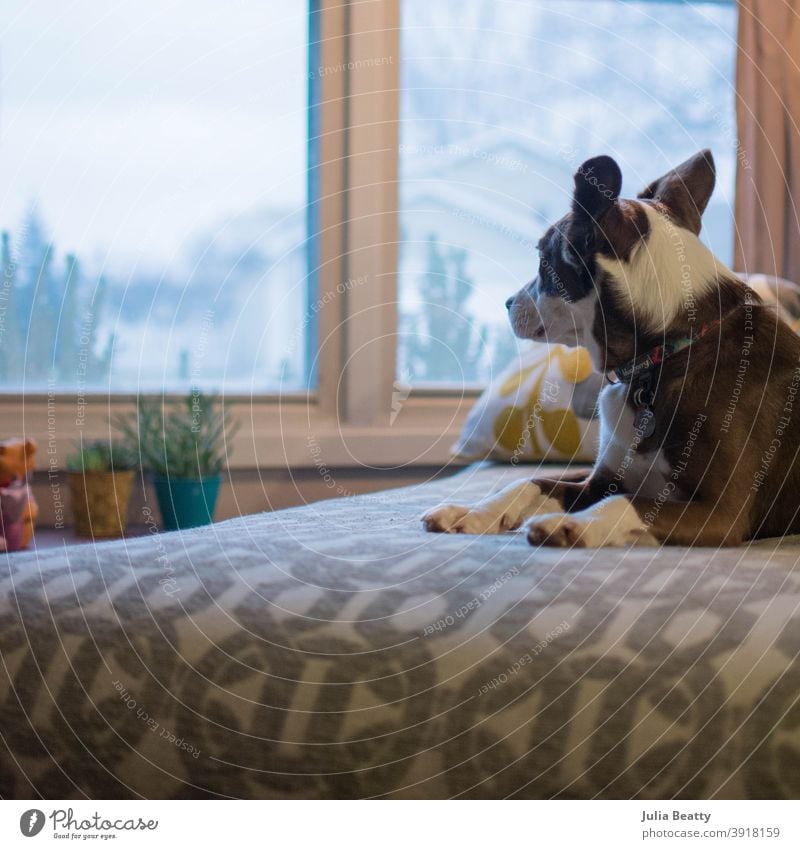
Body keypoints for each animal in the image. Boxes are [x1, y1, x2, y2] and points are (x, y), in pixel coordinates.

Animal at [422, 149, 800, 548]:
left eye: (543, 263)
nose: (508, 303)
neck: (664, 356)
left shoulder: (724, 512)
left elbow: (626, 502)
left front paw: (569, 524)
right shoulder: (599, 480)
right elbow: (529, 482)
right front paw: (473, 512)